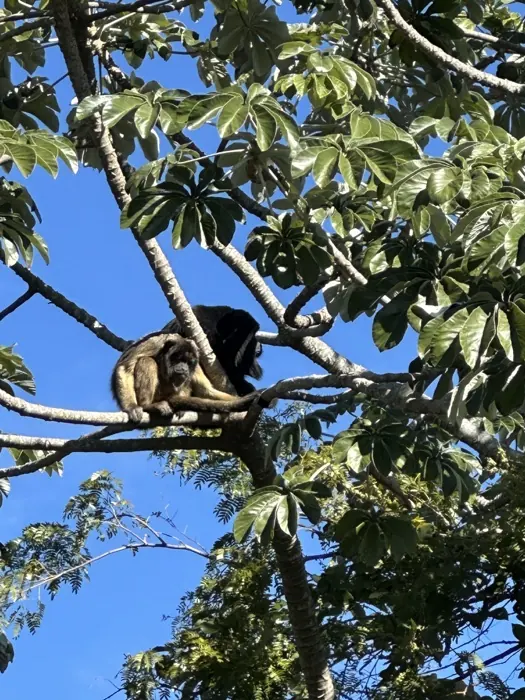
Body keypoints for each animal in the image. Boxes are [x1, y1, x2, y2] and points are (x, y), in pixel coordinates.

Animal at [111, 332, 259, 422]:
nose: (183, 368)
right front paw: (131, 407)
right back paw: (148, 405)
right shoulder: (154, 343)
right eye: (178, 359)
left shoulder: (196, 359)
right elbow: (125, 368)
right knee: (147, 361)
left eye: (188, 362)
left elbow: (206, 391)